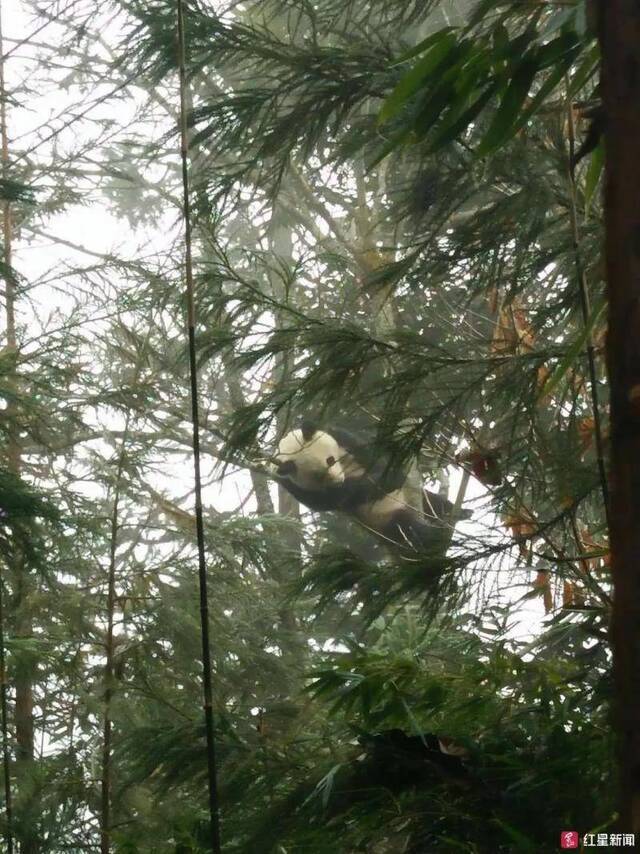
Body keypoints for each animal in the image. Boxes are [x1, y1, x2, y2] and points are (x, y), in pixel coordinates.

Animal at [272, 420, 468, 556]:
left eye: (330, 460)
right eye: (318, 476)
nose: (339, 480)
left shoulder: (343, 438)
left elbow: (388, 471)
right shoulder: (288, 482)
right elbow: (326, 500)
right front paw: (344, 490)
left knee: (432, 502)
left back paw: (458, 512)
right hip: (386, 520)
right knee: (407, 526)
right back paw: (435, 535)